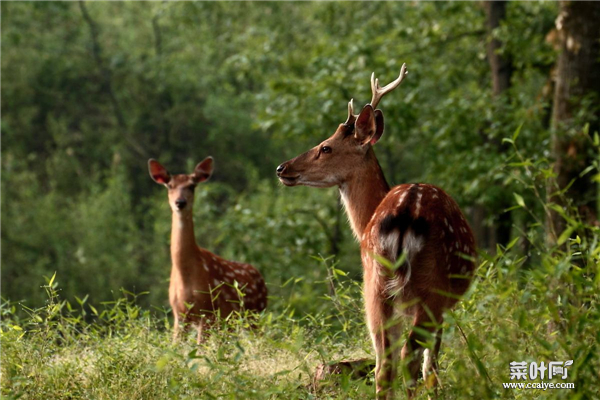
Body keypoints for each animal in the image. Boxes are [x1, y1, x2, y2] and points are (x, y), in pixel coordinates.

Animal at [148, 158, 268, 342]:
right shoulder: (179, 315)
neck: (187, 275)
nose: (180, 202)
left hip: (254, 314)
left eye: (192, 186)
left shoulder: (208, 310)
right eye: (169, 186)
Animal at [274, 64, 476, 398]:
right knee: (408, 360)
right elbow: (432, 366)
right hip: (426, 288)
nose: (282, 168)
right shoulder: (442, 303)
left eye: (325, 147)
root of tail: (405, 215)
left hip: (375, 285)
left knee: (385, 366)